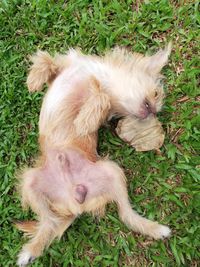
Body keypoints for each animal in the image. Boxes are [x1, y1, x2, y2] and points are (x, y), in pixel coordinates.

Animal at [16, 45, 171, 266]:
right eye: (157, 93)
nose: (155, 112)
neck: (95, 73)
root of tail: (75, 201)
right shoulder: (64, 68)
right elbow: (46, 60)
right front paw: (34, 80)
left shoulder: (104, 105)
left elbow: (100, 97)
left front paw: (84, 121)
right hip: (31, 182)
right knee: (48, 222)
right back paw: (30, 251)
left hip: (112, 171)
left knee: (126, 214)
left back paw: (156, 229)